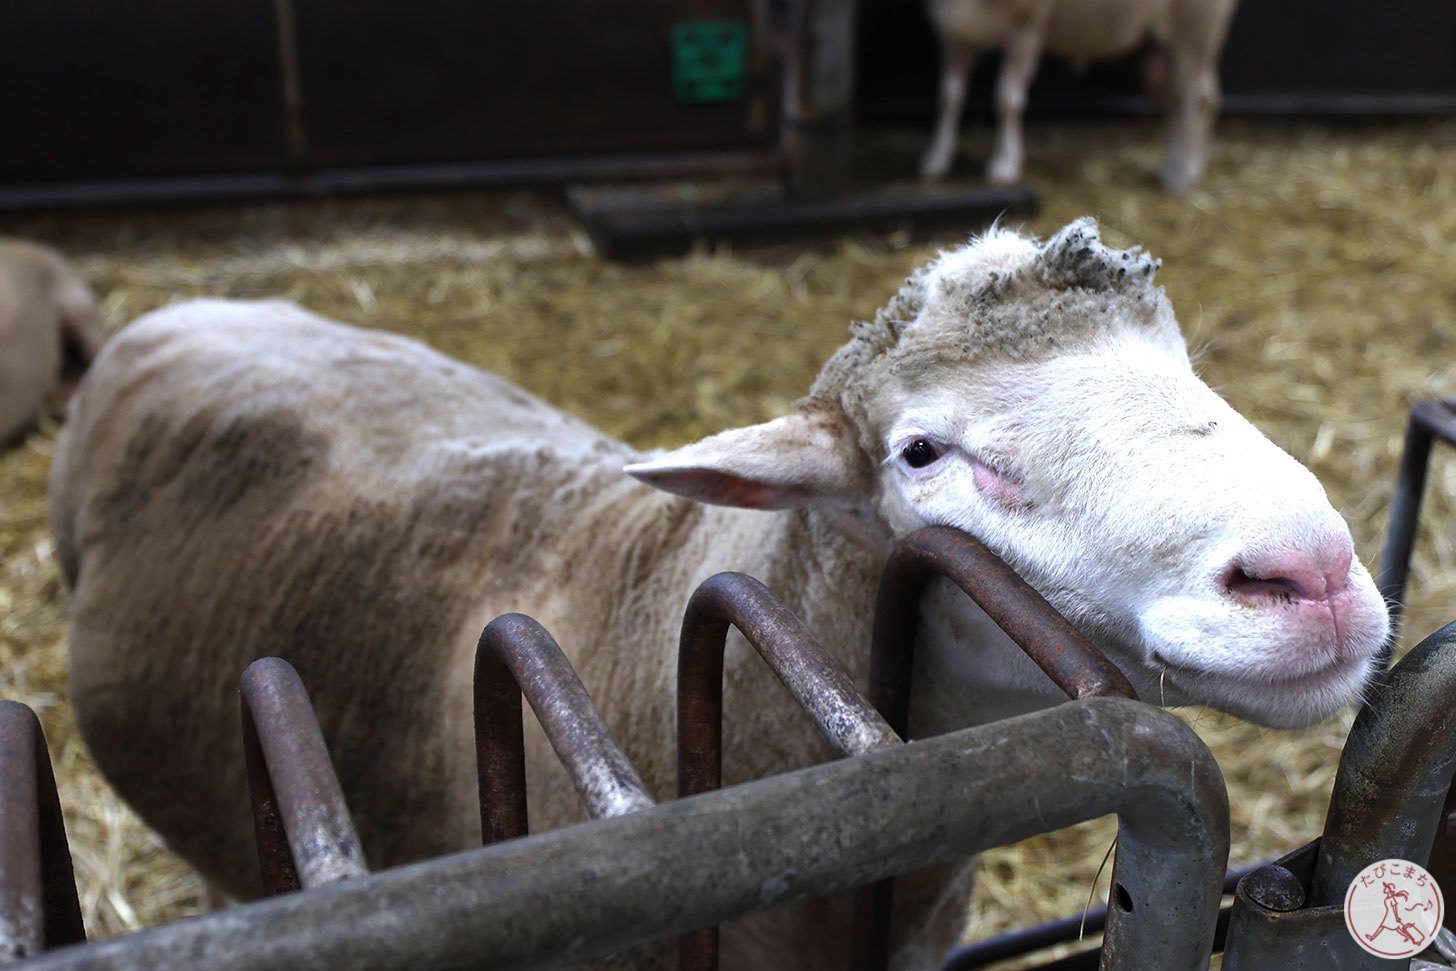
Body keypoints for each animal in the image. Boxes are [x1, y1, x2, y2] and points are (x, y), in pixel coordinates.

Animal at [914, 0, 1234, 195]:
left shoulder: (1027, 27)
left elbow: (1006, 101)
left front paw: (1004, 164)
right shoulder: (952, 34)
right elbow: (948, 97)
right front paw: (936, 159)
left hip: (1196, 28)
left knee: (1198, 99)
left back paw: (1181, 176)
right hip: (1168, 43)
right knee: (1183, 100)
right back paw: (1183, 166)